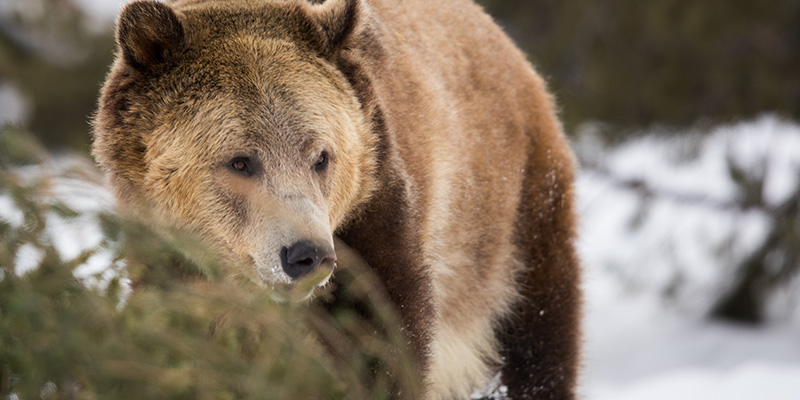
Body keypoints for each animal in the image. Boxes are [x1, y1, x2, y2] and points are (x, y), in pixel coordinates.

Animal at [91, 0, 582, 398]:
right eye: (240, 161)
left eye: (321, 156)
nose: (306, 255)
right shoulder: (174, 264)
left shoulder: (371, 224)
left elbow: (383, 346)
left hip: (512, 218)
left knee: (537, 337)